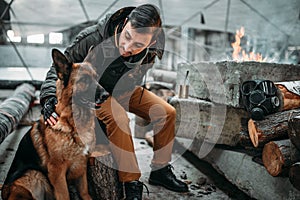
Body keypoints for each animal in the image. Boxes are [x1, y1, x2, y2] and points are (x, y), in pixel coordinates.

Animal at [1, 48, 101, 200]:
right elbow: (65, 196)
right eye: (84, 80)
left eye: (97, 78)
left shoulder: (81, 167)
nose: (106, 95)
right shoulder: (57, 173)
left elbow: (85, 193)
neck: (71, 126)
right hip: (34, 175)